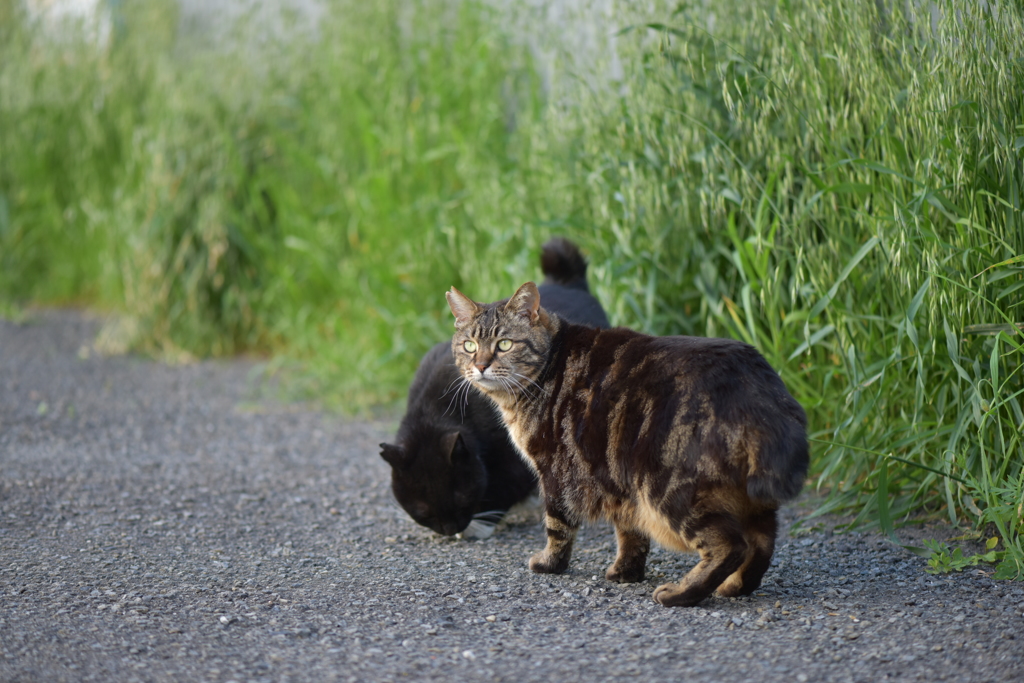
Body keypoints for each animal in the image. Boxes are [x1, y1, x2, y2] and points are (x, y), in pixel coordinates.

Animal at [382, 240, 606, 540]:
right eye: (423, 511)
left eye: (461, 499)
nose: (449, 529)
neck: (435, 411)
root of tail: (566, 281)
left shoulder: (513, 456)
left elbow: (503, 487)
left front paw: (480, 523)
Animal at [446, 280, 806, 606]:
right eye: (469, 346)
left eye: (505, 344)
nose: (480, 365)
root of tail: (760, 388)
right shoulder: (616, 480)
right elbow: (631, 533)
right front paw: (626, 572)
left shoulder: (554, 472)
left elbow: (558, 526)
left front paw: (550, 564)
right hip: (749, 503)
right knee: (762, 544)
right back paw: (735, 586)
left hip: (671, 489)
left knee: (730, 546)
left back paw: (681, 594)